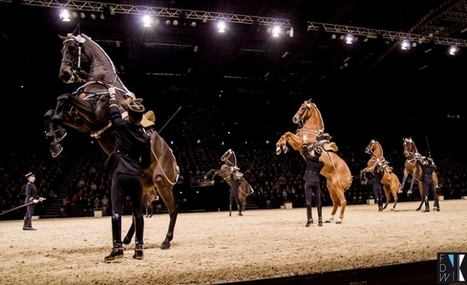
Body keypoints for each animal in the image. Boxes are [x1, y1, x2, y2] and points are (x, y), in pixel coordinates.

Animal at [44, 25, 179, 250]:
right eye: (62, 50)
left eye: (72, 48)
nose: (64, 74)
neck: (103, 82)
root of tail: (173, 159)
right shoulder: (84, 124)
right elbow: (55, 108)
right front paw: (55, 137)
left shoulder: (95, 116)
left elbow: (63, 98)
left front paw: (56, 136)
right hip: (142, 185)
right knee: (137, 212)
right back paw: (126, 239)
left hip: (161, 182)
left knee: (173, 209)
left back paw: (166, 240)